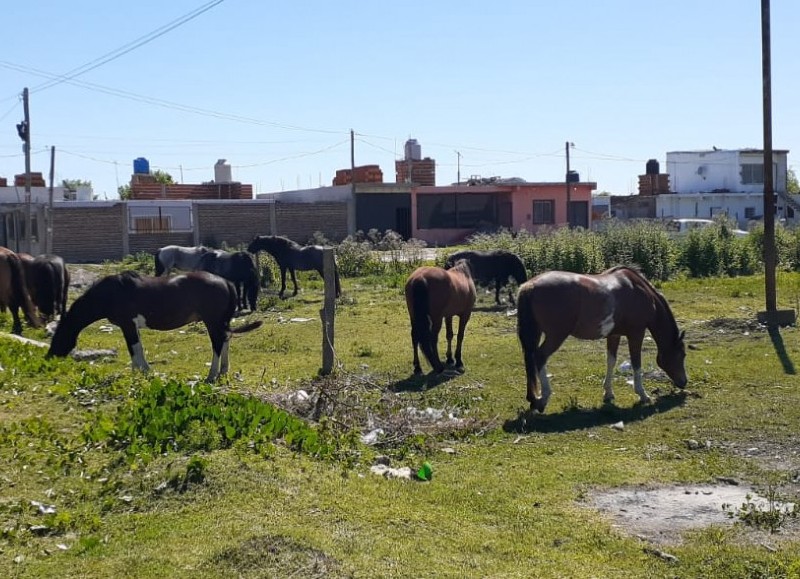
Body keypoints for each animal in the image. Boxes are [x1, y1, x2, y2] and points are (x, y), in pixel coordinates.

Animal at [47, 270, 262, 382]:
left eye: (58, 336)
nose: (49, 358)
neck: (109, 293)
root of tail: (225, 282)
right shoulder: (130, 326)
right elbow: (135, 348)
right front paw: (138, 372)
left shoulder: (128, 324)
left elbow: (135, 348)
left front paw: (142, 371)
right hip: (219, 321)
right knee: (225, 339)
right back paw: (223, 371)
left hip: (212, 321)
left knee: (217, 343)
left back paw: (212, 375)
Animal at [520, 266, 688, 414]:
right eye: (682, 354)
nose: (684, 382)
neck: (638, 289)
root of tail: (530, 286)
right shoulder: (636, 334)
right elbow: (636, 364)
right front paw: (643, 395)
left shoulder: (614, 335)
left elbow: (611, 361)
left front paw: (608, 393)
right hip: (556, 336)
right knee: (540, 356)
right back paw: (543, 399)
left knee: (530, 358)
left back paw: (533, 399)